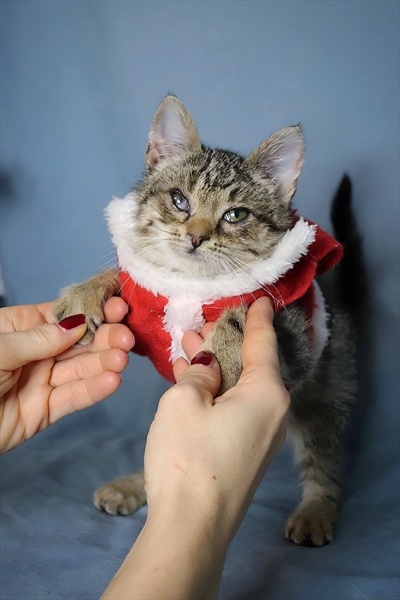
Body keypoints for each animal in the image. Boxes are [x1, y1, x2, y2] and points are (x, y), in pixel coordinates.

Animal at [54, 95, 362, 546]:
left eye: (235, 215)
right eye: (179, 200)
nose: (196, 237)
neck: (194, 288)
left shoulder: (296, 343)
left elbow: (246, 304)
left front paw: (221, 349)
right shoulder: (146, 314)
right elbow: (124, 278)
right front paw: (84, 294)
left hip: (326, 387)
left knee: (323, 459)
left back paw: (316, 511)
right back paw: (130, 486)